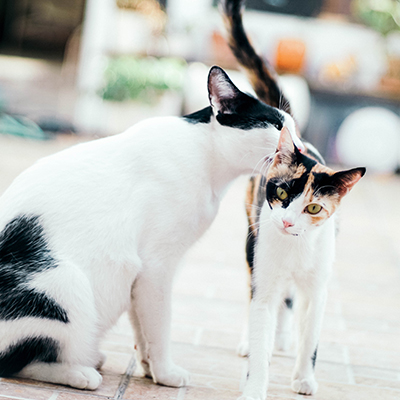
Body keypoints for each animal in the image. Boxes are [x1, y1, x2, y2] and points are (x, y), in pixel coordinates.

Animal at [0, 66, 300, 390]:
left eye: (295, 129)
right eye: (276, 125)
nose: (300, 147)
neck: (205, 157)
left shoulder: (139, 275)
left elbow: (141, 326)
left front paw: (147, 367)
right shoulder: (156, 267)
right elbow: (159, 325)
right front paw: (166, 373)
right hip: (65, 283)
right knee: (14, 362)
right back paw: (79, 372)